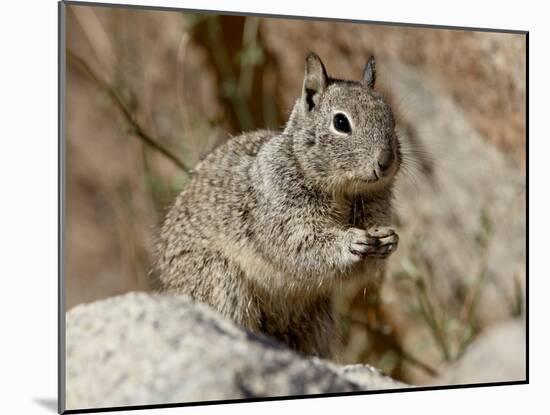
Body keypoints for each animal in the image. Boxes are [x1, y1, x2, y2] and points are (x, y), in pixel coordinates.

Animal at [155, 51, 402, 358]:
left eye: (391, 118)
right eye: (341, 123)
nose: (386, 162)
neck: (342, 191)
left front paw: (388, 238)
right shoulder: (282, 217)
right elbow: (302, 244)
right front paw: (350, 241)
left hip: (316, 321)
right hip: (220, 283)